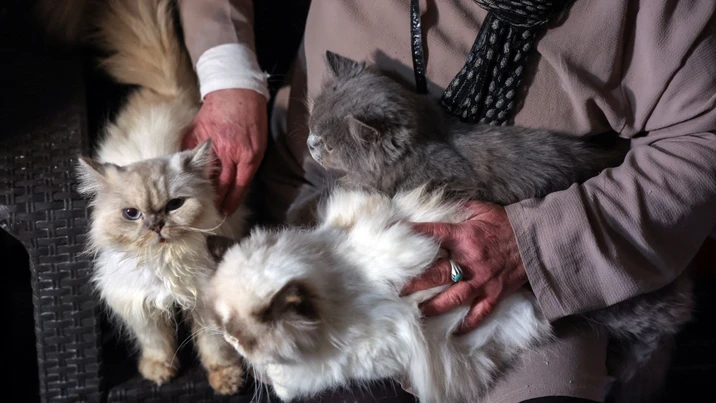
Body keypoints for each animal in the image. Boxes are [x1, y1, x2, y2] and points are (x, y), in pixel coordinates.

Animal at [74, 0, 246, 394]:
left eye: (174, 205)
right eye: (132, 214)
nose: (155, 225)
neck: (164, 264)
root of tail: (169, 93)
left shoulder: (206, 304)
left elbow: (215, 349)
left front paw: (226, 380)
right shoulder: (138, 305)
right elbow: (156, 343)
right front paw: (158, 372)